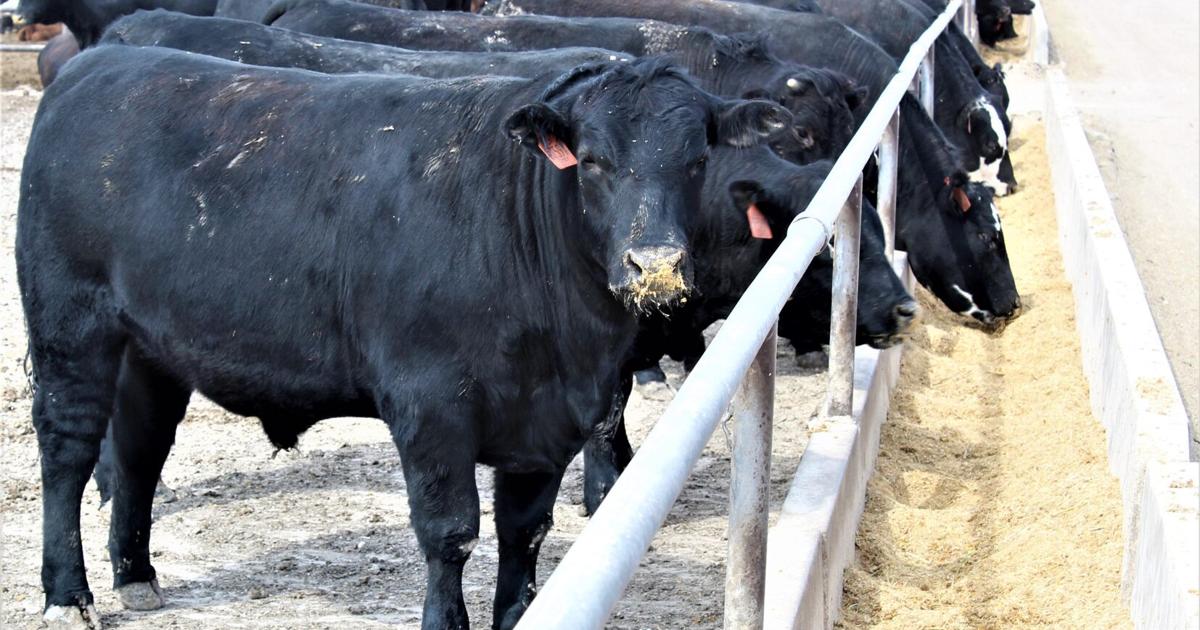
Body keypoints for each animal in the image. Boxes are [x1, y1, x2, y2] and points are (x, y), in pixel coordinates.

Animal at [19, 42, 790, 629]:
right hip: (69, 325)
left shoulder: (547, 421)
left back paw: (135, 575)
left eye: (696, 161)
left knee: (139, 451)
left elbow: (524, 533)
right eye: (594, 161)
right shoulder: (431, 402)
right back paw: (68, 594)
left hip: (150, 349)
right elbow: (450, 532)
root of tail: (101, 61)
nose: (654, 263)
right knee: (68, 451)